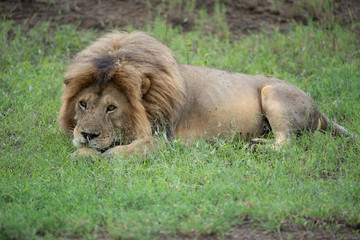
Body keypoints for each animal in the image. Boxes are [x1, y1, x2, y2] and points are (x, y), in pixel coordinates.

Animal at [57, 30, 352, 158]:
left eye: (112, 108)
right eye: (82, 104)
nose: (87, 134)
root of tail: (319, 109)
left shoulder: (165, 138)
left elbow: (127, 150)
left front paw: (104, 155)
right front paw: (82, 154)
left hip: (272, 92)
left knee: (288, 143)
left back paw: (255, 146)